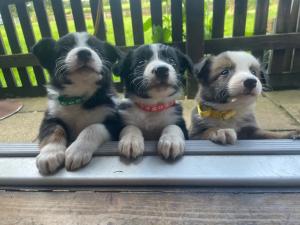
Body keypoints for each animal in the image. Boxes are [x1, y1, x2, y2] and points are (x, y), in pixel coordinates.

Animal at [32, 31, 121, 174]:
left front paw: (77, 151)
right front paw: (50, 154)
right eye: (65, 49)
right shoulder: (50, 117)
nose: (84, 52)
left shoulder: (114, 122)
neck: (79, 97)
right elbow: (53, 130)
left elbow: (92, 127)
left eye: (97, 50)